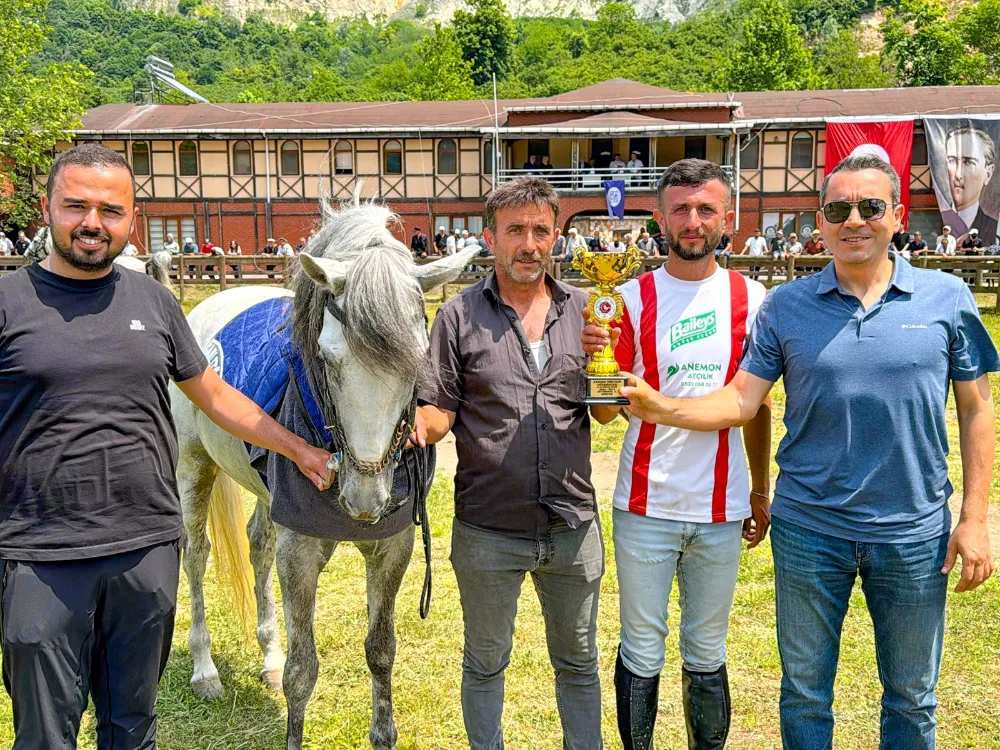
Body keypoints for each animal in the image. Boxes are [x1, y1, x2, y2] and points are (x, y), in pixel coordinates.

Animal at [170, 196, 478, 750]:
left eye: (417, 361)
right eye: (328, 359)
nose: (365, 499)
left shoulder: (392, 549)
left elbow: (381, 650)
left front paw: (383, 731)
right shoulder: (301, 552)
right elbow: (303, 671)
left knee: (257, 544)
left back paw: (268, 656)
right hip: (193, 465)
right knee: (196, 555)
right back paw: (205, 671)